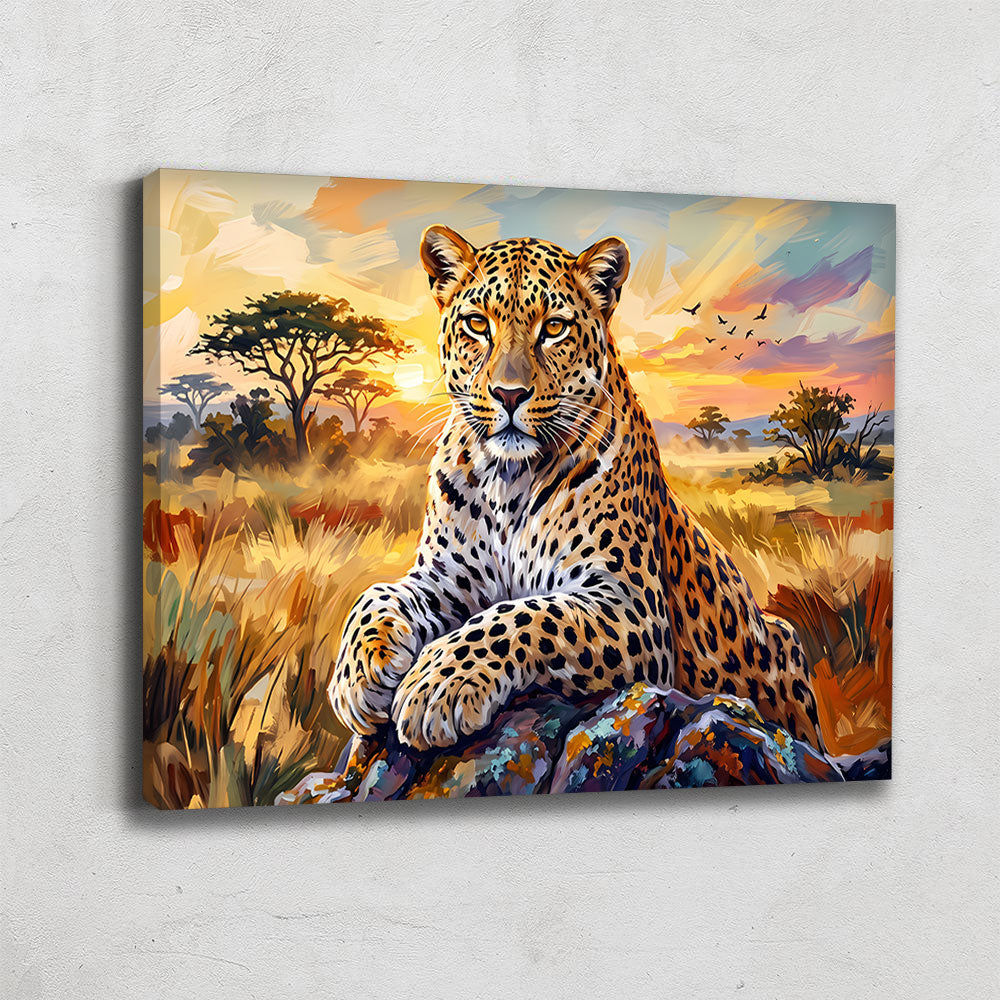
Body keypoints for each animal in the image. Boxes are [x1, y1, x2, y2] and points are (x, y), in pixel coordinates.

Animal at [328, 225, 824, 753]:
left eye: (553, 328)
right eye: (478, 324)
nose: (508, 394)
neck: (508, 478)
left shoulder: (631, 604)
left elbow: (524, 615)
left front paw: (439, 683)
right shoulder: (448, 577)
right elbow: (375, 595)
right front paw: (358, 674)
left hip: (785, 644)